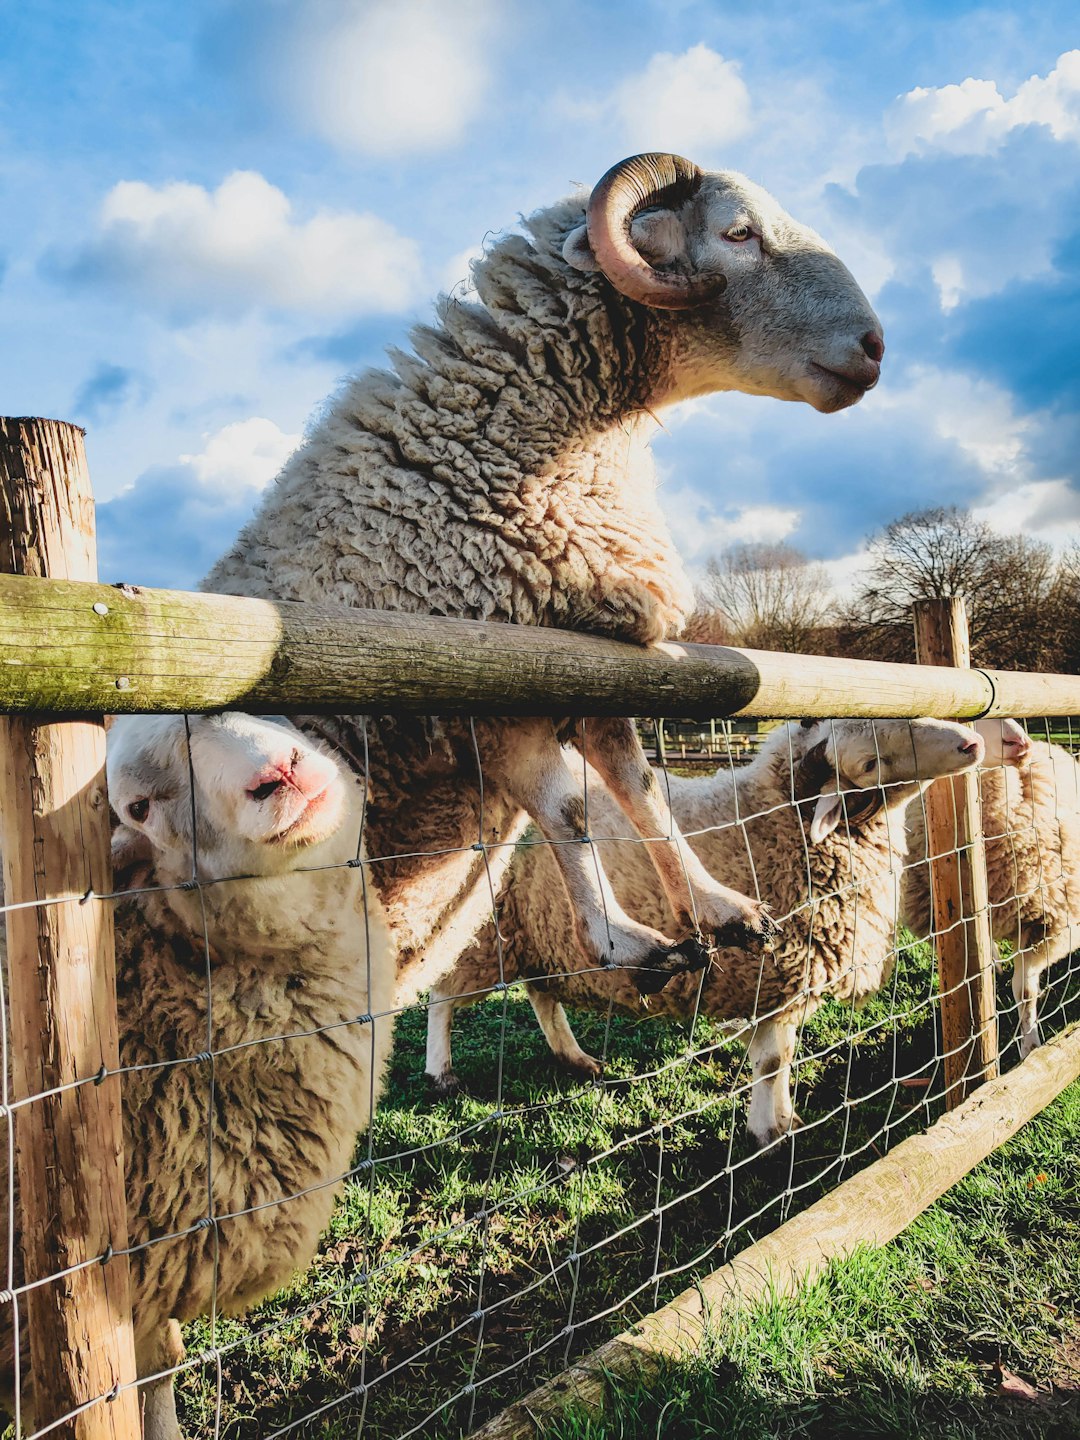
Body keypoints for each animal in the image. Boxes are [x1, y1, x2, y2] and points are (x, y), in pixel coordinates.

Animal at [426, 720, 984, 1146]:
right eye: (870, 763)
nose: (971, 743)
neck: (771, 822)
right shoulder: (772, 974)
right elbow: (773, 1060)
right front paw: (769, 1133)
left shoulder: (785, 983)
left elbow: (784, 1056)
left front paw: (785, 1119)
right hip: (480, 934)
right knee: (442, 996)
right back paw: (441, 1071)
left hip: (538, 933)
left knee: (541, 995)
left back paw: (576, 1057)